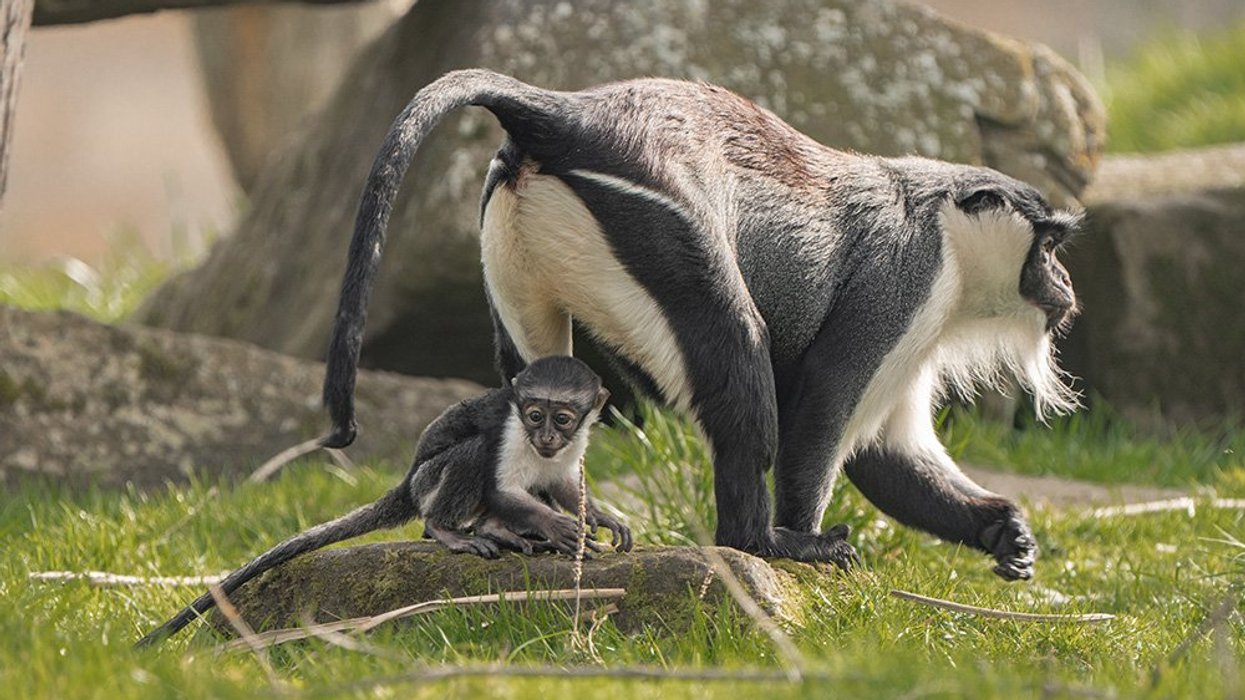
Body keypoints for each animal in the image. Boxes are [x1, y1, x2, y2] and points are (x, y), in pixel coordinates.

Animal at [135, 356, 632, 648]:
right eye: (533, 415)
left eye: (561, 419)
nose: (545, 436)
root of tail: (409, 480)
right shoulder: (510, 431)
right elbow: (500, 487)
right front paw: (559, 529)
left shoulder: (569, 447)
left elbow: (563, 484)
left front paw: (600, 518)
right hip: (430, 481)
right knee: (470, 457)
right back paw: (452, 530)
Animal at [320, 69, 1083, 581]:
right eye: (1048, 245)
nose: (1067, 286)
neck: (946, 225)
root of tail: (566, 115)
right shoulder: (904, 281)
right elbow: (823, 410)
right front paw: (803, 539)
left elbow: (886, 451)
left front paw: (1003, 531)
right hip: (663, 229)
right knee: (739, 356)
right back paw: (761, 543)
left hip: (515, 246)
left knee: (528, 380)